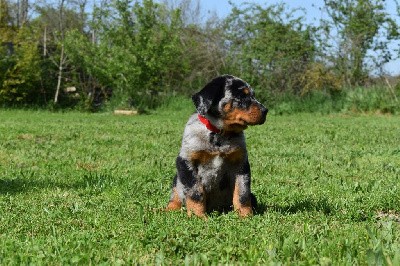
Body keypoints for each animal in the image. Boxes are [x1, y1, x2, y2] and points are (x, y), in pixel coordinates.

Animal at [166, 74, 268, 217]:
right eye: (242, 96)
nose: (266, 111)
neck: (219, 134)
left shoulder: (241, 164)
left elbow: (242, 193)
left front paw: (246, 216)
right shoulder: (186, 161)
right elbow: (195, 193)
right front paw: (198, 217)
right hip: (177, 179)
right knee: (175, 196)